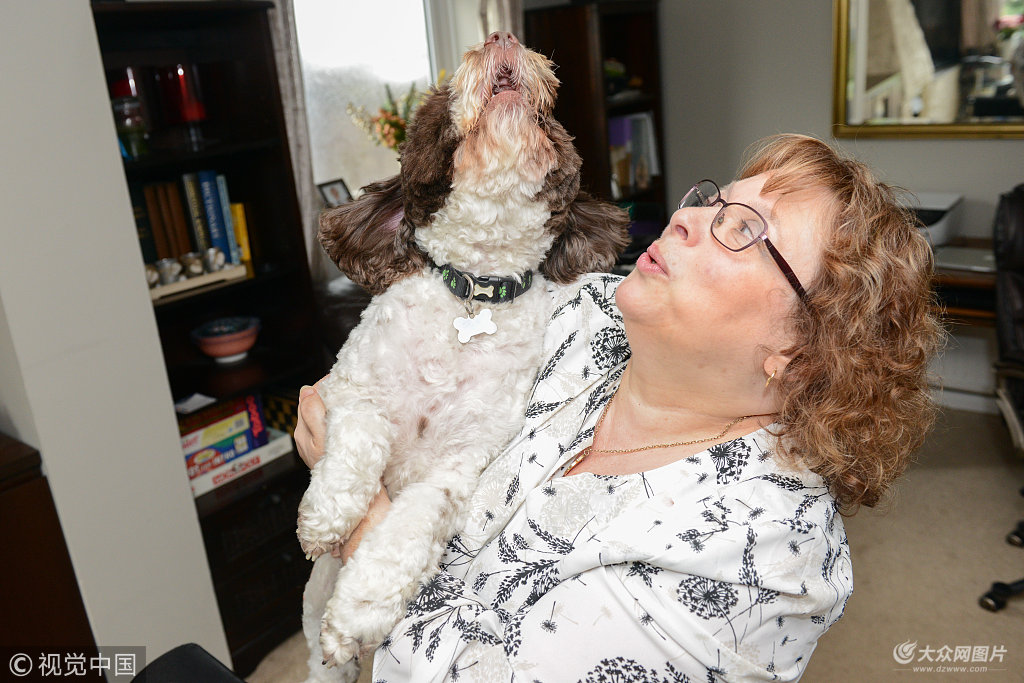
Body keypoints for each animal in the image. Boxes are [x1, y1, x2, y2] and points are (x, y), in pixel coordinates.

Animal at [299, 31, 630, 683]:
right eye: (440, 97)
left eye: (551, 116)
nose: (502, 37)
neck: (473, 289)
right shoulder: (349, 389)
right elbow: (359, 441)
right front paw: (326, 513)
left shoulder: (459, 467)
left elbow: (410, 527)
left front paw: (359, 610)